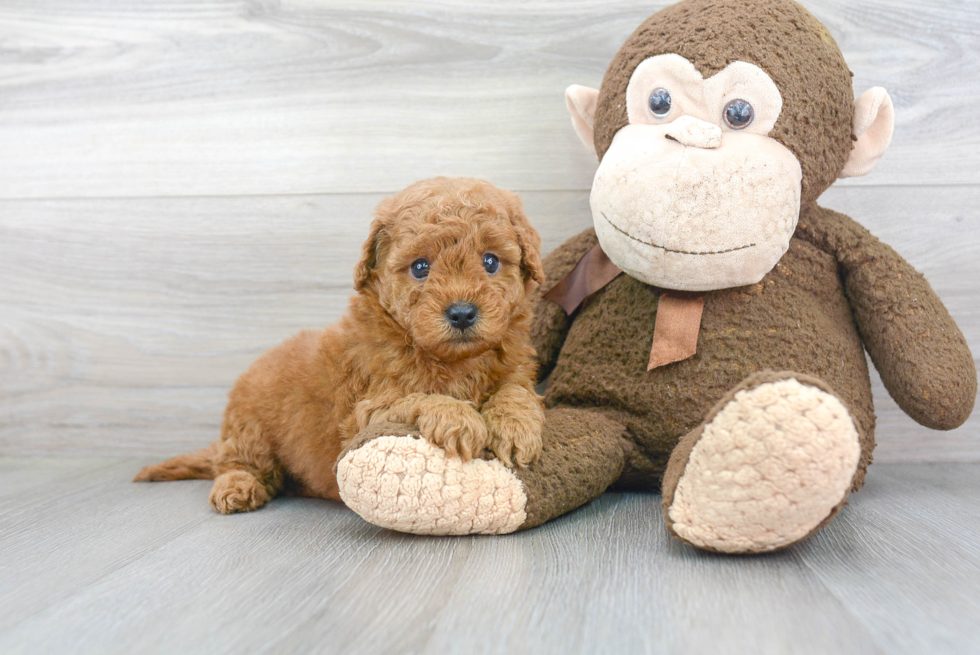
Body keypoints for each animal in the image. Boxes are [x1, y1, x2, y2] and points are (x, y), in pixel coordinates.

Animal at [134, 177, 548, 516]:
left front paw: (515, 428)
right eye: (420, 267)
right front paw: (459, 419)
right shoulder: (369, 409)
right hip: (250, 429)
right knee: (239, 462)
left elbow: (514, 391)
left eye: (490, 262)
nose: (461, 313)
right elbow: (421, 397)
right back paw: (237, 487)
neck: (453, 360)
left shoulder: (514, 369)